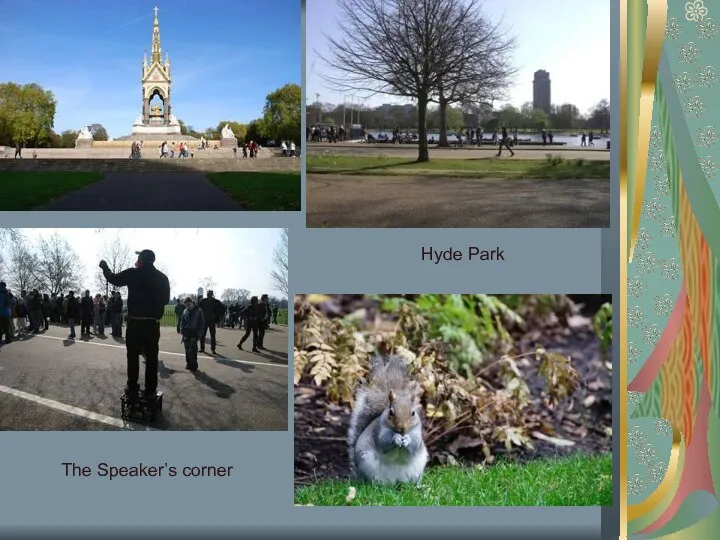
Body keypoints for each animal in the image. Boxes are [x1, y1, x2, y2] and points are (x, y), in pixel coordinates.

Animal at [346, 354, 424, 486]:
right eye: (391, 412)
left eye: (413, 413)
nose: (402, 428)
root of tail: (395, 480)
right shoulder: (379, 431)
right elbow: (384, 442)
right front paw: (396, 438)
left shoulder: (417, 433)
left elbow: (414, 445)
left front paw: (406, 440)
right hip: (369, 465)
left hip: (414, 473)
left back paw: (419, 486)